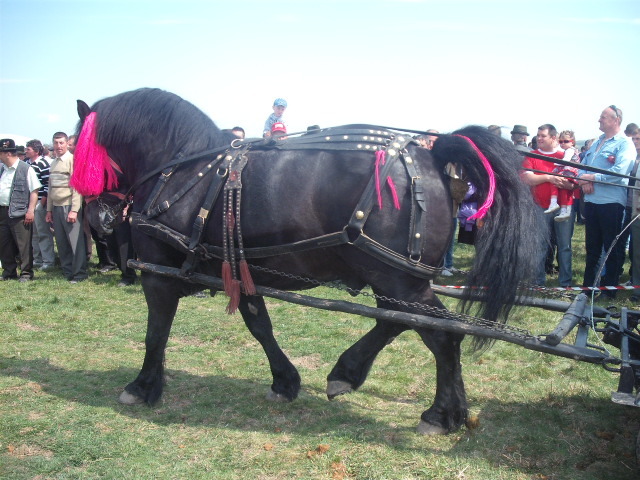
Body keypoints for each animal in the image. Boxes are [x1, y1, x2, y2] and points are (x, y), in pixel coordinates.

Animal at [72, 87, 544, 436]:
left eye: (79, 150)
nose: (97, 220)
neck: (184, 170)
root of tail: (431, 151)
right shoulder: (243, 267)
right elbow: (259, 324)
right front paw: (285, 381)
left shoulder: (158, 276)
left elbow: (156, 334)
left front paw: (142, 387)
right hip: (394, 279)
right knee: (401, 322)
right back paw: (358, 375)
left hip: (398, 278)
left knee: (440, 334)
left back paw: (440, 414)